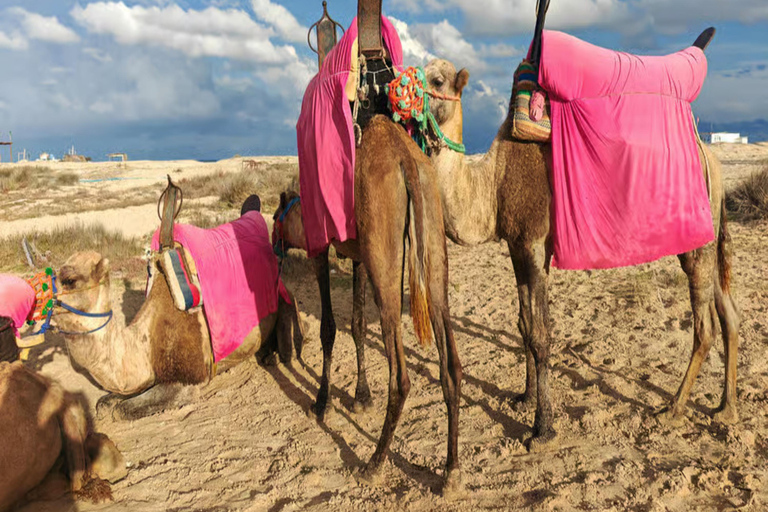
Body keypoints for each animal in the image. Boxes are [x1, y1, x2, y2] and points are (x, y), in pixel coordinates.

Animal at [53, 199, 303, 421]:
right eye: (54, 274)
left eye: (69, 280)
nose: (46, 301)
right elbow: (106, 403)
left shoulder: (188, 382)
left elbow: (121, 410)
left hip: (284, 299)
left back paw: (273, 355)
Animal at [273, 115, 462, 494]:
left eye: (275, 216)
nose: (274, 242)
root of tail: (407, 163)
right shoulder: (358, 255)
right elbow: (358, 324)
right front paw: (361, 398)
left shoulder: (321, 247)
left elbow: (329, 328)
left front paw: (322, 403)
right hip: (431, 229)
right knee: (448, 356)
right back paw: (451, 471)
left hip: (383, 242)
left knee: (401, 376)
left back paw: (373, 463)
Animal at [416, 58, 740, 449]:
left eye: (436, 80)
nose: (394, 93)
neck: (493, 183)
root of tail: (712, 159)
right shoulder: (516, 246)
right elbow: (524, 324)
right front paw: (524, 398)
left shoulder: (533, 243)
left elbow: (541, 333)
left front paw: (543, 429)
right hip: (710, 231)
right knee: (729, 312)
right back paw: (725, 409)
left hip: (696, 242)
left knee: (705, 327)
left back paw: (673, 410)